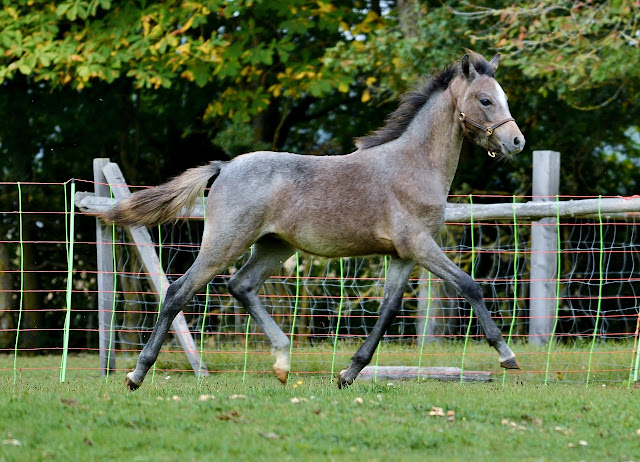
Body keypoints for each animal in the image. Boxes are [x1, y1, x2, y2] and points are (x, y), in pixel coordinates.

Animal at [104, 51, 525, 391]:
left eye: (504, 97)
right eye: (485, 99)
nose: (517, 142)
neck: (413, 165)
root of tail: (223, 167)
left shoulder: (404, 255)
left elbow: (388, 311)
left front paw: (348, 374)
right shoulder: (420, 245)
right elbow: (469, 285)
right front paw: (507, 356)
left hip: (273, 246)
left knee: (241, 285)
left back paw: (282, 362)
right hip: (225, 242)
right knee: (179, 291)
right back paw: (136, 375)